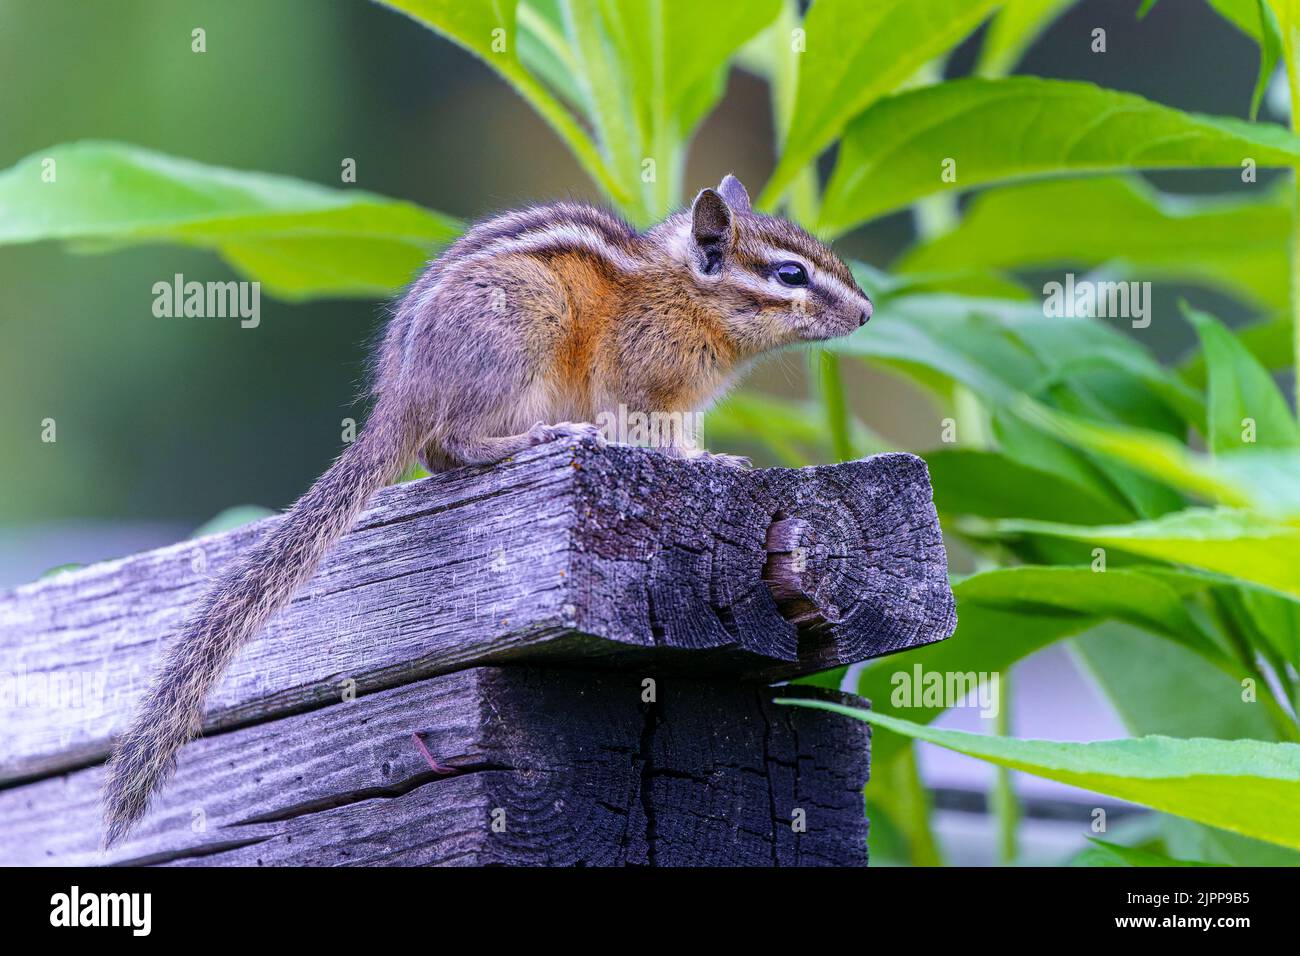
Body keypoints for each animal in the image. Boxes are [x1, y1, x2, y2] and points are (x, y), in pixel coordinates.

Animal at [101, 174, 872, 846]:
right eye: (790, 275)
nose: (867, 313)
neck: (685, 290)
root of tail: (401, 397)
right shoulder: (644, 387)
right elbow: (659, 437)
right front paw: (710, 463)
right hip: (520, 335)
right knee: (455, 444)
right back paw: (538, 437)